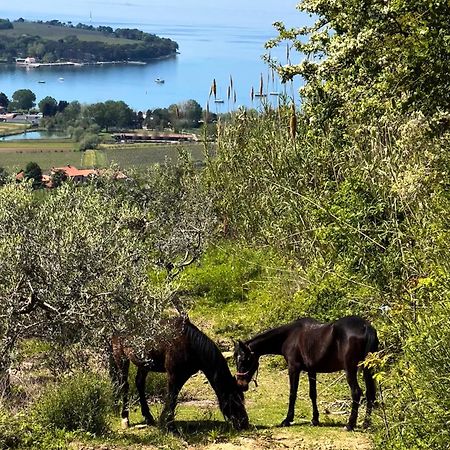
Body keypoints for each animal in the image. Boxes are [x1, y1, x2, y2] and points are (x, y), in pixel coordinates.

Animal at [110, 314, 248, 430]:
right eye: (235, 400)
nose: (244, 423)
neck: (190, 344)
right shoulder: (173, 375)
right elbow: (172, 397)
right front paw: (167, 424)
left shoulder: (183, 375)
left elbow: (173, 399)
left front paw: (167, 422)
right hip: (121, 358)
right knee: (124, 386)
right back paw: (125, 419)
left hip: (144, 364)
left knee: (139, 383)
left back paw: (148, 417)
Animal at [234, 314, 378, 430]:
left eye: (245, 360)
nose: (240, 385)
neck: (290, 336)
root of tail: (366, 327)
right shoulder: (311, 370)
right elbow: (312, 394)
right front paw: (315, 419)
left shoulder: (293, 368)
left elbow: (292, 393)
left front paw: (287, 420)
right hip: (368, 368)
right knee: (370, 393)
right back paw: (366, 423)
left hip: (350, 369)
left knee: (356, 392)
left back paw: (350, 424)